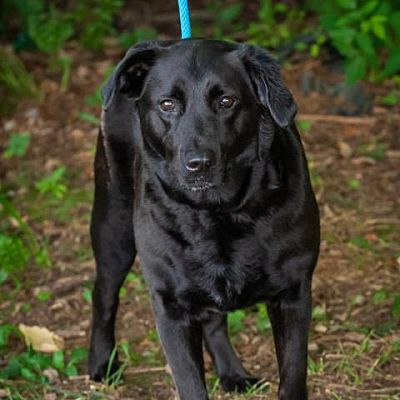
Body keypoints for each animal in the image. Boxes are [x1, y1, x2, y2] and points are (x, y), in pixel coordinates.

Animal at [89, 38, 320, 400]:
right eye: (167, 104)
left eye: (227, 101)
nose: (198, 163)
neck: (217, 213)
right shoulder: (171, 307)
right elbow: (190, 384)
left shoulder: (293, 293)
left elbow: (293, 376)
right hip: (113, 229)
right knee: (103, 295)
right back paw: (102, 364)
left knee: (213, 320)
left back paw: (232, 373)